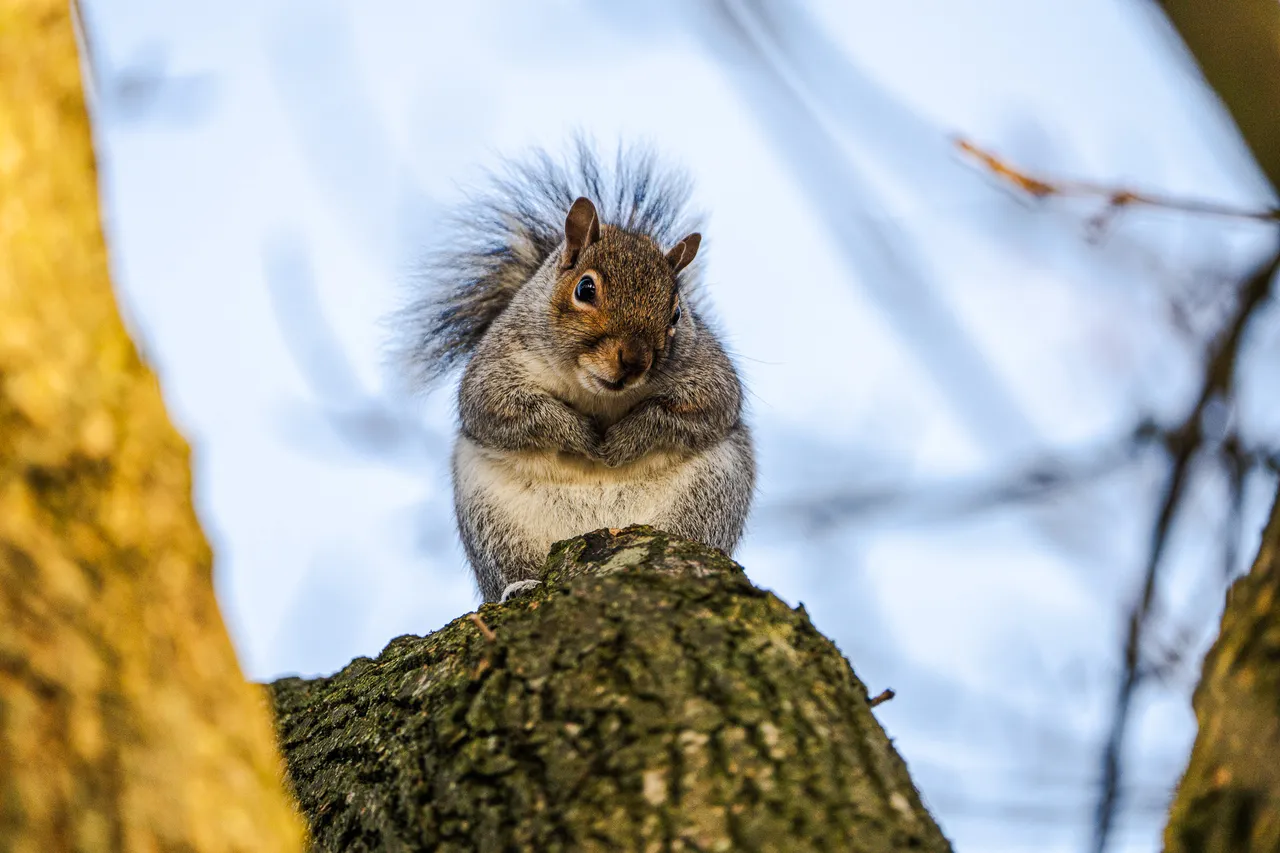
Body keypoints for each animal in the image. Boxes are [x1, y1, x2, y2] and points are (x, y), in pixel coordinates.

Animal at [394, 140, 752, 604]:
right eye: (585, 288)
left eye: (676, 313)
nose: (633, 360)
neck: (596, 394)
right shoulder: (497, 367)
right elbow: (505, 409)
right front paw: (580, 436)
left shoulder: (707, 376)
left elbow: (695, 410)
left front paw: (620, 442)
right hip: (494, 526)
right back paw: (520, 585)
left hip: (708, 498)